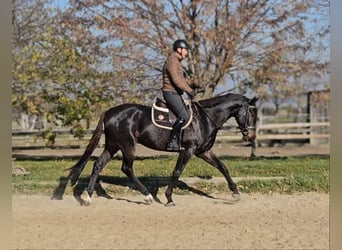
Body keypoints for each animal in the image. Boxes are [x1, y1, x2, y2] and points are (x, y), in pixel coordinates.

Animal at [68, 93, 258, 206]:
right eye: (251, 114)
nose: (250, 136)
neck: (205, 118)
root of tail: (109, 112)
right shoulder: (188, 150)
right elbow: (177, 172)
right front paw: (169, 197)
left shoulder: (203, 151)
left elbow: (222, 167)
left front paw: (235, 193)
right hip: (127, 145)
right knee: (127, 168)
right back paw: (147, 196)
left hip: (113, 145)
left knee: (98, 165)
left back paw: (88, 197)